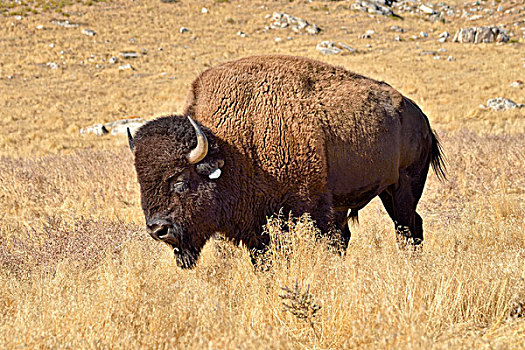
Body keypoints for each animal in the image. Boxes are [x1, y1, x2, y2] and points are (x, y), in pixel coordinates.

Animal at [127, 55, 442, 268]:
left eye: (180, 180)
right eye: (141, 182)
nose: (157, 229)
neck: (232, 148)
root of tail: (419, 116)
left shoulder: (297, 213)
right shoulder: (257, 227)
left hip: (404, 188)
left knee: (407, 228)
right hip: (384, 193)